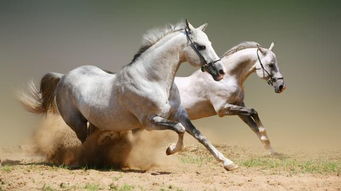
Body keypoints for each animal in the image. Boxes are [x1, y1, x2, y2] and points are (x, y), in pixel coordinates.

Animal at [19, 20, 239, 170]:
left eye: (209, 42)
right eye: (201, 46)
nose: (220, 72)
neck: (151, 80)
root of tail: (64, 76)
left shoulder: (180, 114)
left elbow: (199, 136)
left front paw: (228, 163)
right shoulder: (150, 122)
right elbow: (180, 130)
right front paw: (170, 150)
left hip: (96, 122)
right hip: (77, 122)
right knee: (84, 142)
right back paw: (88, 161)